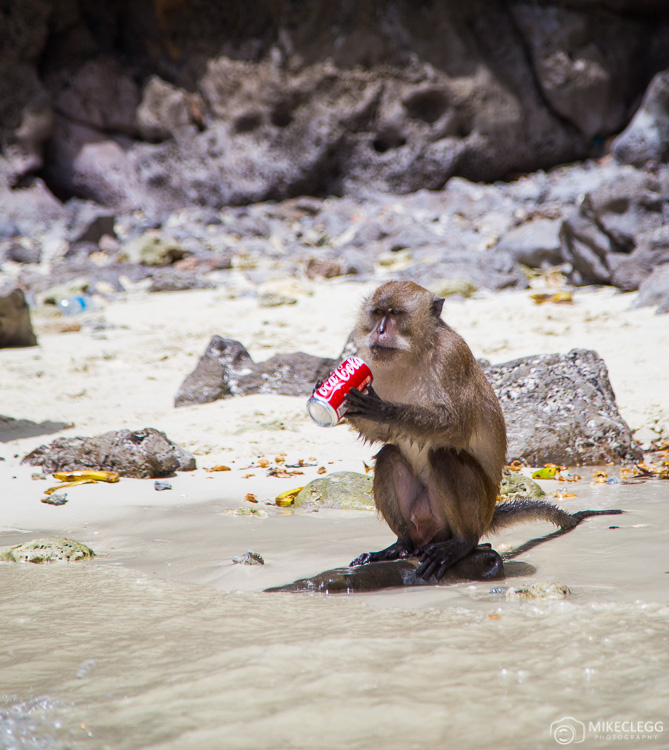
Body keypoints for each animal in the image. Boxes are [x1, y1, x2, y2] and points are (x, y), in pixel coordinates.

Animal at [341, 281, 622, 581]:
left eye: (395, 314)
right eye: (378, 313)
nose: (379, 331)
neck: (413, 354)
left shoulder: (452, 357)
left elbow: (455, 425)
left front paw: (382, 409)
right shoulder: (370, 360)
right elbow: (382, 435)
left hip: (475, 512)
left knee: (443, 456)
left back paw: (462, 544)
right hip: (424, 522)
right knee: (390, 456)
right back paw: (401, 545)